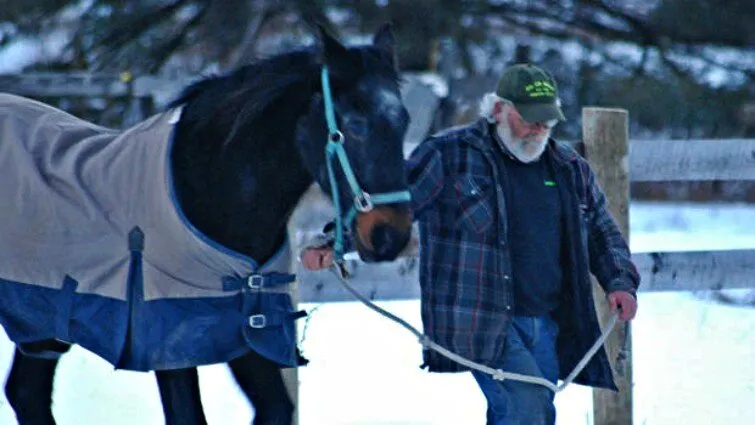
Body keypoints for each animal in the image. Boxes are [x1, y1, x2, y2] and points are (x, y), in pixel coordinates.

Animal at [0, 23, 413, 425]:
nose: (390, 235)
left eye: (404, 122)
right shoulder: (172, 350)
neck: (209, 195)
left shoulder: (250, 335)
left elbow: (277, 408)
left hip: (44, 331)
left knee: (26, 392)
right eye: (354, 124)